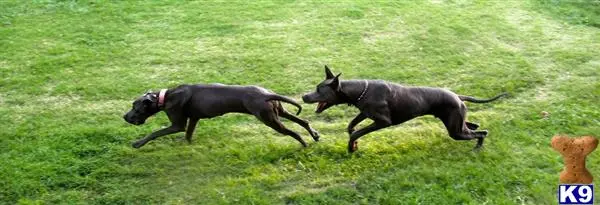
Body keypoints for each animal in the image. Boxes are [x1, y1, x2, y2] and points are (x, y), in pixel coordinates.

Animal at [122, 84, 318, 148]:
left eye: (135, 107)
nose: (125, 117)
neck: (165, 97)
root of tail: (267, 94)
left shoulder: (177, 124)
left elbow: (155, 133)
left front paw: (138, 143)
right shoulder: (193, 120)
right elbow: (188, 135)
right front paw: (188, 145)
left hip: (270, 120)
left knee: (294, 132)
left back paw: (304, 144)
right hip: (279, 112)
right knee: (303, 121)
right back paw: (315, 135)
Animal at [300, 65, 506, 152]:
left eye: (319, 89)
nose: (303, 96)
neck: (359, 91)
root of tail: (457, 95)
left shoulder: (383, 121)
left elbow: (356, 132)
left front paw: (351, 147)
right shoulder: (365, 113)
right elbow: (351, 126)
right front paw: (354, 143)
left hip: (455, 130)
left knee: (482, 132)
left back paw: (477, 148)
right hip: (456, 121)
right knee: (475, 126)